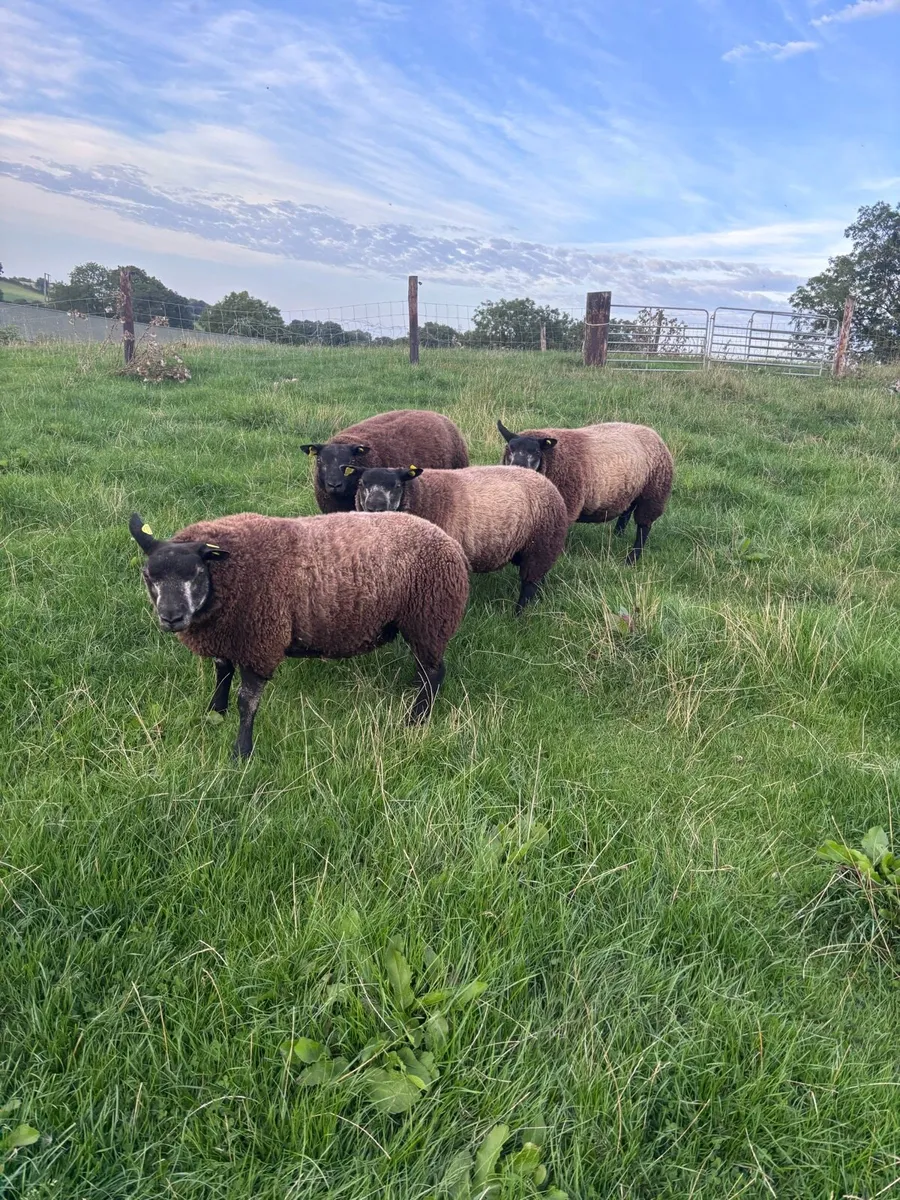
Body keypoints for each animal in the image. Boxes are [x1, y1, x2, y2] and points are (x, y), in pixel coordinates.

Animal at [128, 510, 469, 758]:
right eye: (148, 575)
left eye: (197, 573)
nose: (171, 617)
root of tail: (449, 541)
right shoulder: (227, 637)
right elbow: (222, 673)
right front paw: (215, 713)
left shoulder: (260, 643)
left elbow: (246, 703)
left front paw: (241, 753)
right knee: (425, 670)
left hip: (429, 618)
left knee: (435, 673)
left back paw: (416, 720)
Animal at [351, 464, 569, 612]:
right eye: (361, 483)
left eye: (397, 485)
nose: (375, 507)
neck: (422, 495)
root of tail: (545, 480)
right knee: (538, 579)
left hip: (541, 543)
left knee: (529, 585)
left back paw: (518, 615)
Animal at [496, 419, 673, 563]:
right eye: (509, 449)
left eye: (537, 452)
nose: (519, 467)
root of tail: (652, 432)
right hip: (631, 490)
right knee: (626, 512)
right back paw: (618, 535)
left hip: (653, 492)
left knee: (644, 526)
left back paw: (631, 559)